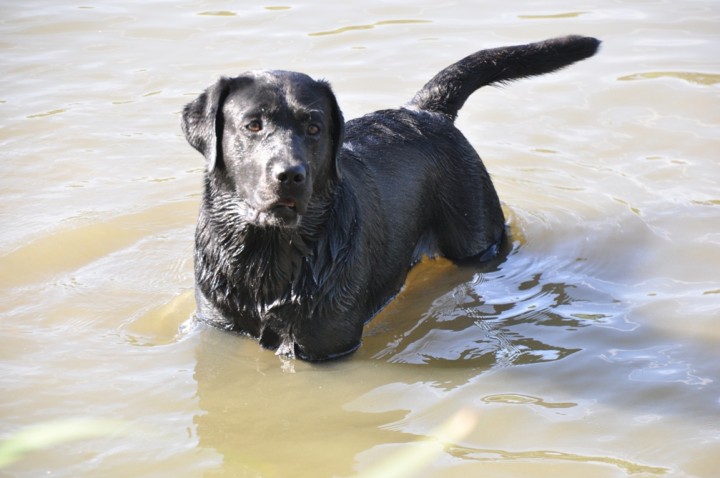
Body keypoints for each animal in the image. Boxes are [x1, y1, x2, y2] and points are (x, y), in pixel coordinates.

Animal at [181, 35, 600, 361]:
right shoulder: (216, 324)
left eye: (314, 127)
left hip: (477, 233)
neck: (267, 254)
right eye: (253, 125)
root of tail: (424, 111)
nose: (291, 175)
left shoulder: (326, 344)